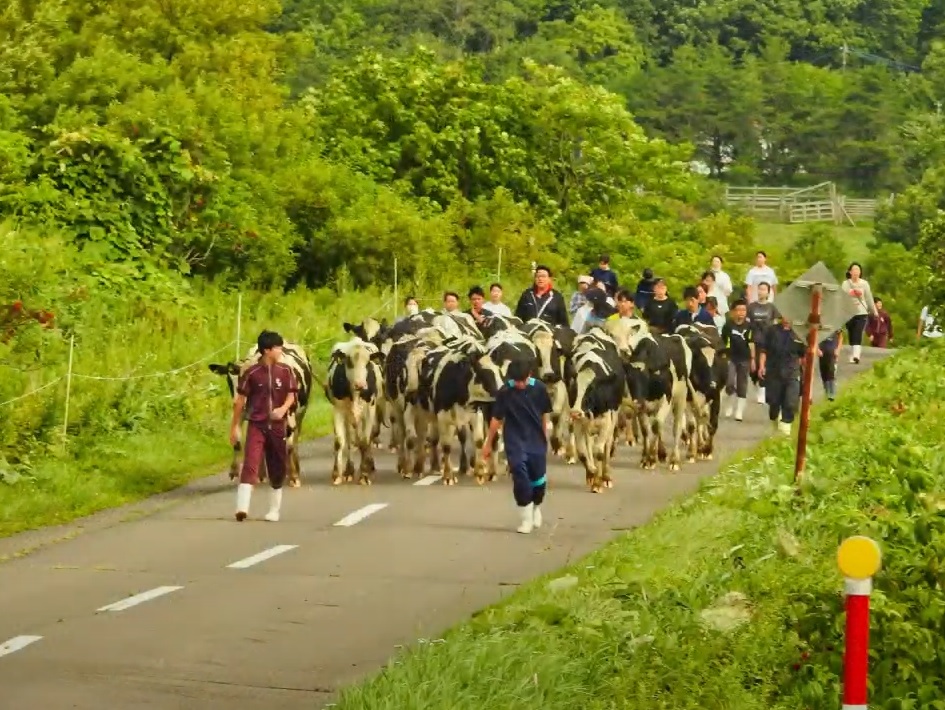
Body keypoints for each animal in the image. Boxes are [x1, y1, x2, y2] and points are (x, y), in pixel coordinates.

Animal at [324, 338, 384, 484]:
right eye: (349, 362)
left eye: (368, 362)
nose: (360, 385)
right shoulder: (338, 409)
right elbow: (340, 441)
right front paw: (337, 474)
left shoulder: (369, 410)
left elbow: (365, 441)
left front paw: (364, 475)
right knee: (350, 441)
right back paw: (348, 471)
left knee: (365, 439)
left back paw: (369, 466)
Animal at [568, 330, 628, 492]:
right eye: (574, 387)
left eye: (592, 388)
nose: (575, 412)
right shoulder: (579, 423)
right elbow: (583, 453)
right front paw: (592, 473)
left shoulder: (605, 423)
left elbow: (599, 452)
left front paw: (598, 483)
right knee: (589, 445)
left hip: (613, 419)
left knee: (607, 446)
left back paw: (605, 476)